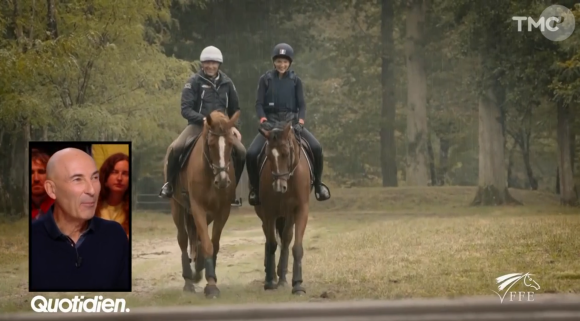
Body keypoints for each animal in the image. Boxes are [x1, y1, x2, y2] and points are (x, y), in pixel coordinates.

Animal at [168, 110, 240, 298]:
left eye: (231, 143)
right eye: (211, 144)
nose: (222, 181)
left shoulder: (222, 211)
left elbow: (213, 244)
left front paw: (209, 277)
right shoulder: (198, 208)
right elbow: (207, 245)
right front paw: (212, 286)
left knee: (197, 239)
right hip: (177, 208)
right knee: (183, 239)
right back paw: (188, 280)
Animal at [254, 120, 312, 296]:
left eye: (286, 153)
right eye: (268, 155)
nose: (279, 186)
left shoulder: (300, 210)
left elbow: (296, 246)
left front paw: (298, 284)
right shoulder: (269, 212)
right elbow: (272, 244)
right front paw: (269, 282)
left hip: (288, 215)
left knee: (286, 239)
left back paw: (282, 277)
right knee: (269, 240)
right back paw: (272, 275)